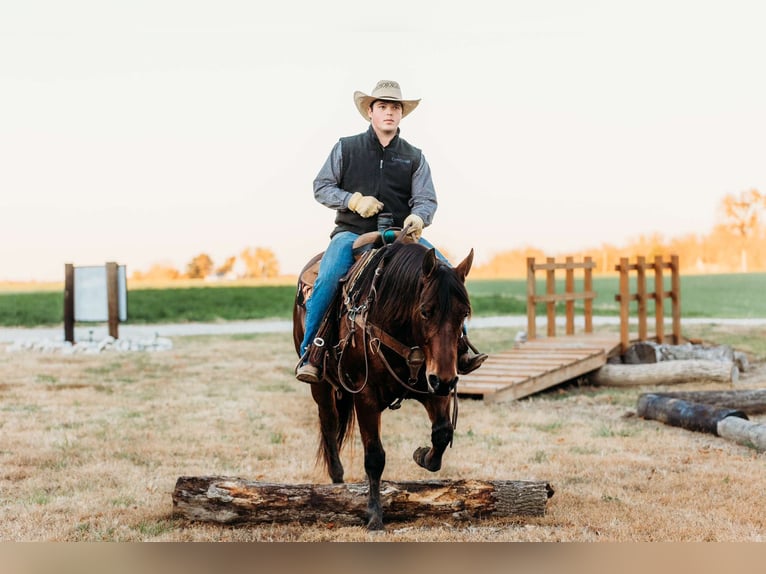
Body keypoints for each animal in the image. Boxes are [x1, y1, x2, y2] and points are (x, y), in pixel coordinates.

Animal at [294, 236, 474, 532]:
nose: (446, 380)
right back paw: (337, 477)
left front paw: (422, 455)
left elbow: (442, 433)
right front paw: (375, 516)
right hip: (320, 386)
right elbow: (375, 457)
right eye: (426, 311)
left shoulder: (434, 386)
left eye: (465, 314)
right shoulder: (365, 396)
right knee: (329, 423)